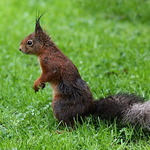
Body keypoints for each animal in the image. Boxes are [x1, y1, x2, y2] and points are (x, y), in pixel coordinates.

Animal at [19, 14, 150, 130]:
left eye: (29, 42)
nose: (19, 49)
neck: (46, 50)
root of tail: (89, 107)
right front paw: (41, 85)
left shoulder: (50, 64)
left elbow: (48, 74)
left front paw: (36, 83)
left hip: (60, 105)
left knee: (72, 126)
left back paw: (59, 131)